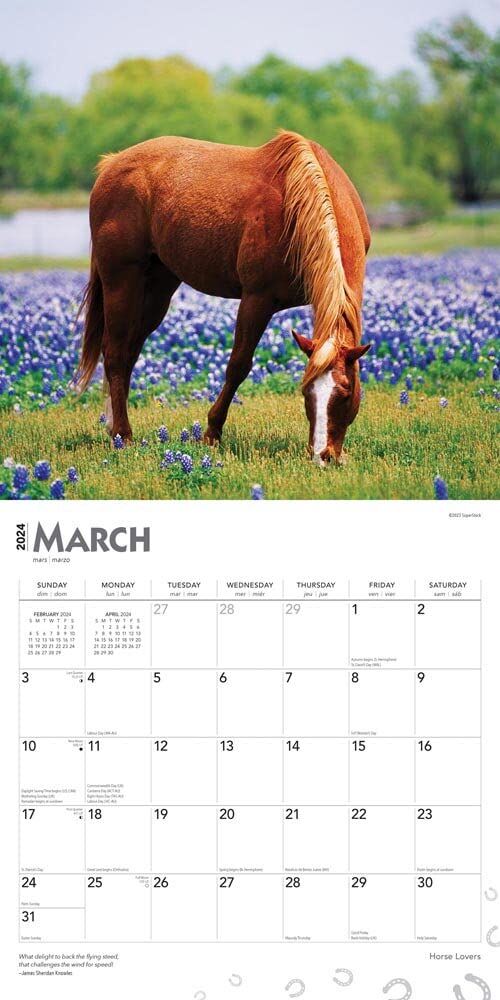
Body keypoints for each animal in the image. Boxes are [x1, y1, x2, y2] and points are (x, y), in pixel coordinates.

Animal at [77, 130, 371, 465]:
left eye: (346, 393)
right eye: (307, 391)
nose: (323, 455)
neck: (300, 206)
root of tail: (111, 165)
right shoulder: (257, 299)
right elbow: (237, 366)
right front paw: (211, 434)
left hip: (158, 285)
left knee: (129, 352)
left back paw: (114, 426)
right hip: (121, 280)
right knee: (114, 352)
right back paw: (122, 435)